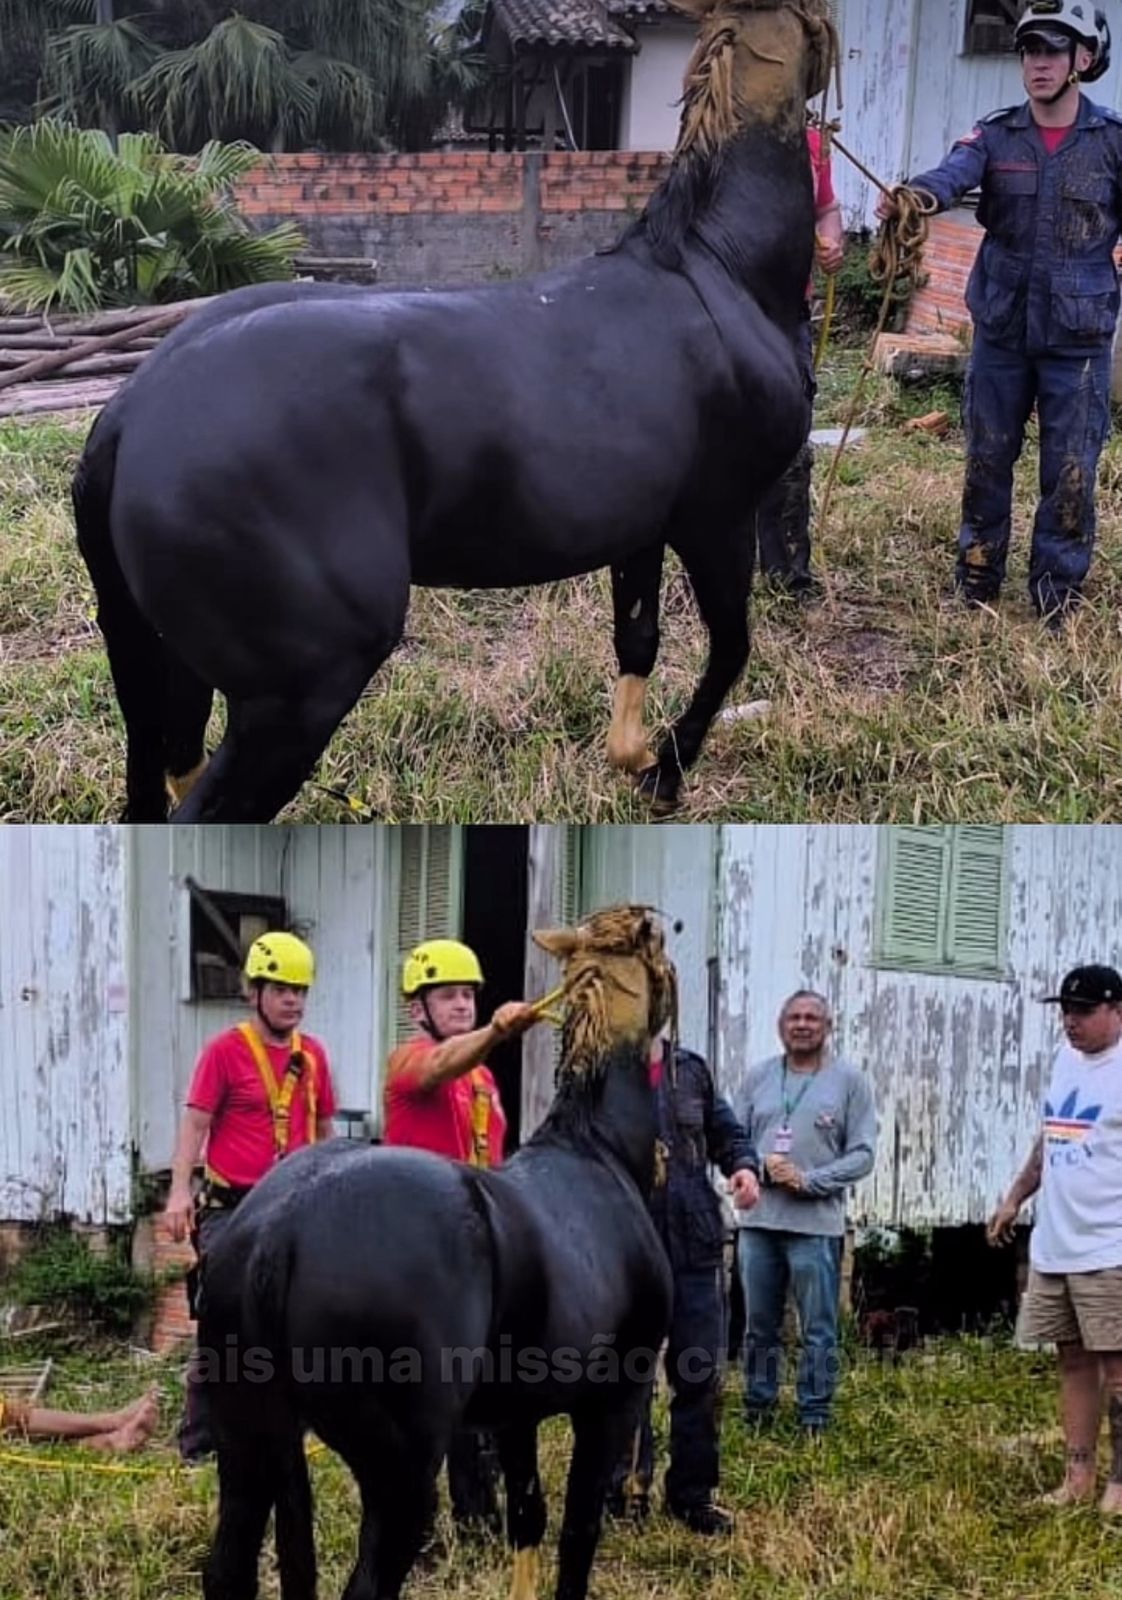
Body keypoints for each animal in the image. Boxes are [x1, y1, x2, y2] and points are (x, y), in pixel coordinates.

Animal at [73, 0, 836, 820]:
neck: (716, 265)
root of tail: (127, 417)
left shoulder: (643, 529)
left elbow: (638, 639)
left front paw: (631, 757)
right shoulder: (716, 517)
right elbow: (730, 649)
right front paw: (667, 769)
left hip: (169, 665)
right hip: (300, 692)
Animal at [197, 904, 678, 1600]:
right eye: (662, 946)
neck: (596, 1148)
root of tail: (278, 1230)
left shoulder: (515, 1416)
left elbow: (527, 1520)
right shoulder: (612, 1403)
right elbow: (577, 1535)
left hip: (245, 1443)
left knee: (227, 1567)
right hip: (399, 1472)